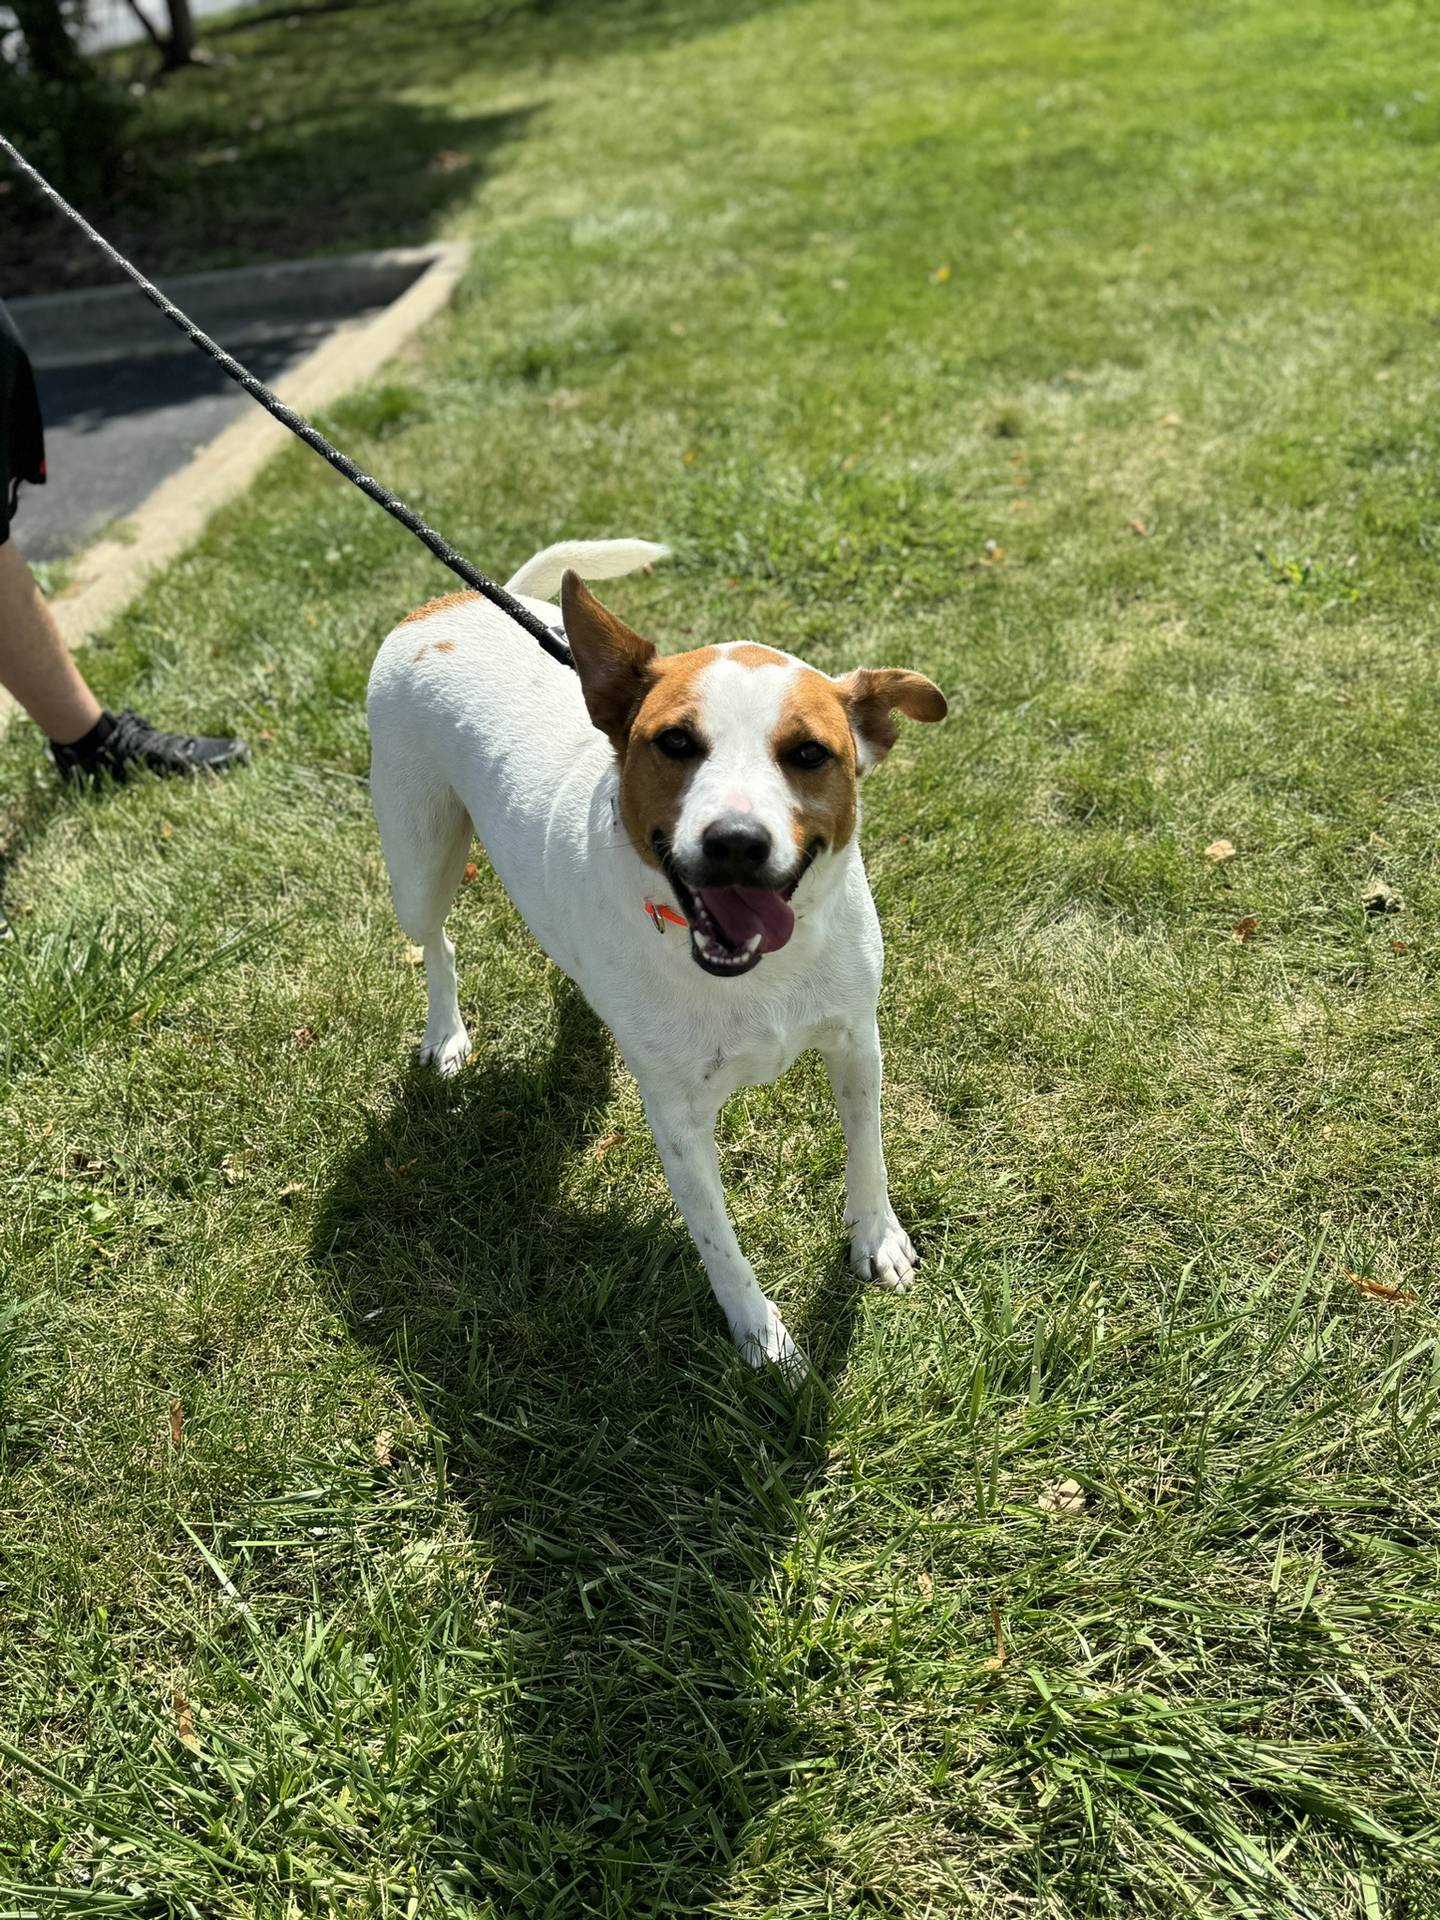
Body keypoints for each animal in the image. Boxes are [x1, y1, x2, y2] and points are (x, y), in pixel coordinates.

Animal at [368, 541, 948, 1382]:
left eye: (810, 754)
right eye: (675, 743)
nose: (735, 842)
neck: (757, 974)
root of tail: (454, 603)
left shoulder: (856, 1041)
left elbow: (867, 1147)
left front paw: (876, 1237)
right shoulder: (677, 1120)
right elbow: (720, 1246)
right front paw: (763, 1340)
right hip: (417, 857)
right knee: (435, 940)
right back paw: (446, 1035)